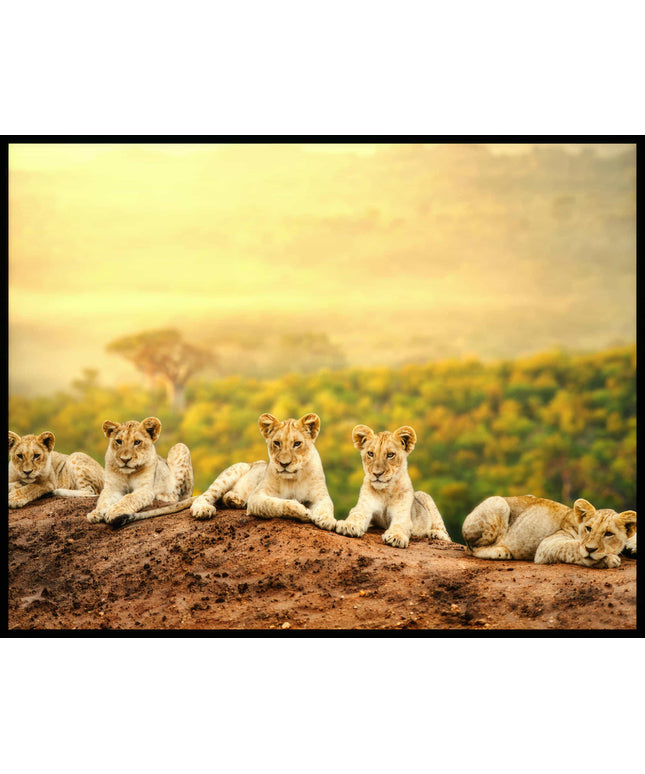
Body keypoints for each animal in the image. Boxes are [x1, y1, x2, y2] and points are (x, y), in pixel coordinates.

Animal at [191, 412, 336, 531]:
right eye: (277, 443)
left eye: (297, 443)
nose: (284, 464)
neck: (294, 479)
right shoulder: (257, 497)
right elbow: (278, 504)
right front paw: (302, 510)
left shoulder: (321, 496)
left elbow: (327, 507)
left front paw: (328, 520)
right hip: (232, 472)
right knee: (206, 495)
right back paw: (202, 509)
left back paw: (235, 500)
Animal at [462, 494, 637, 568]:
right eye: (588, 528)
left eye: (608, 534)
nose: (590, 549)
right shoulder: (546, 546)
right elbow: (573, 547)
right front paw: (608, 559)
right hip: (499, 503)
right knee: (470, 548)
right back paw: (500, 551)